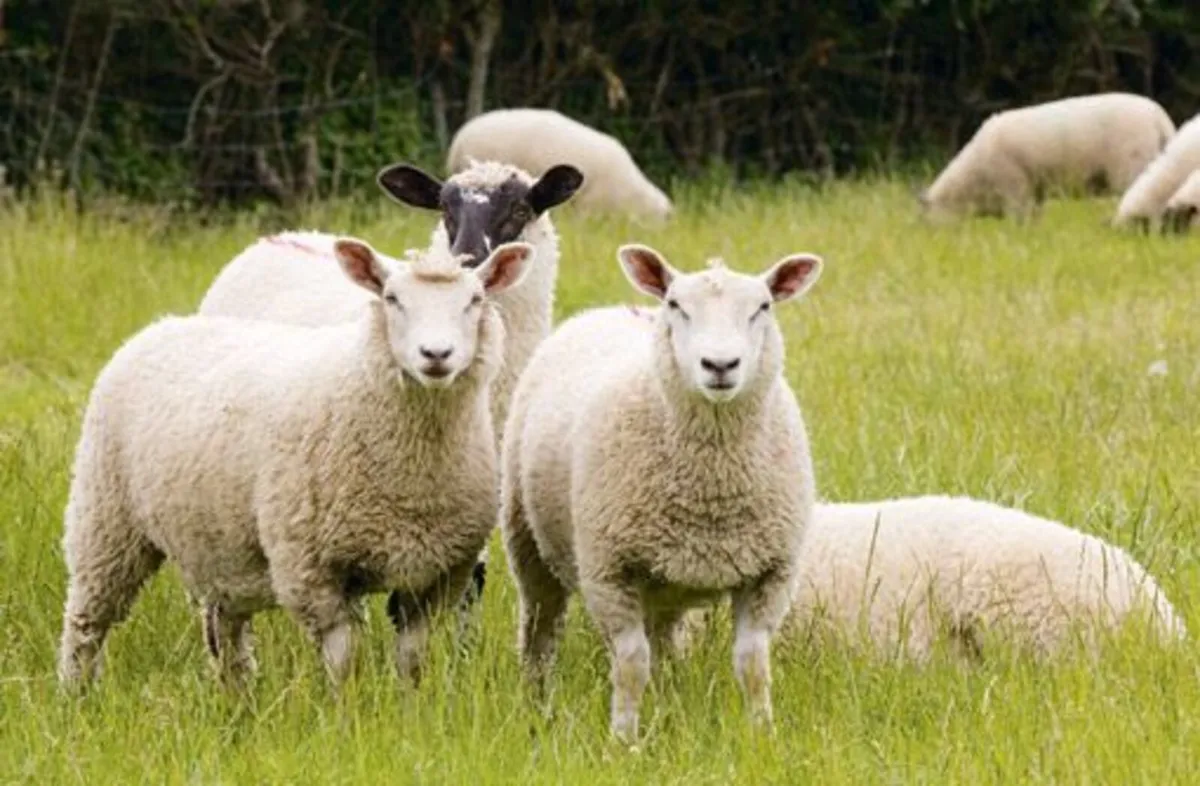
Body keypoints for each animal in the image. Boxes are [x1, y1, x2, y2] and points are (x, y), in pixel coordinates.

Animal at [57, 238, 536, 690]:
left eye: (474, 299)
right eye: (392, 298)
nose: (436, 354)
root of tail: (162, 325)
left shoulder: (438, 575)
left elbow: (412, 661)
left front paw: (407, 708)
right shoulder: (312, 570)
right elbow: (344, 661)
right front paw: (349, 714)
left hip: (219, 544)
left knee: (225, 633)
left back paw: (237, 702)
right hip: (105, 520)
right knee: (86, 622)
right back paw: (76, 695)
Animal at [500, 244, 823, 742]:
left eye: (763, 307)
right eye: (676, 305)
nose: (720, 366)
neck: (712, 484)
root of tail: (612, 310)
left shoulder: (771, 573)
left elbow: (753, 664)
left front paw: (762, 734)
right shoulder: (610, 572)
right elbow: (631, 665)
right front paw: (623, 740)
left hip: (667, 583)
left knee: (665, 643)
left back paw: (671, 699)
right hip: (527, 539)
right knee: (540, 627)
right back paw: (537, 700)